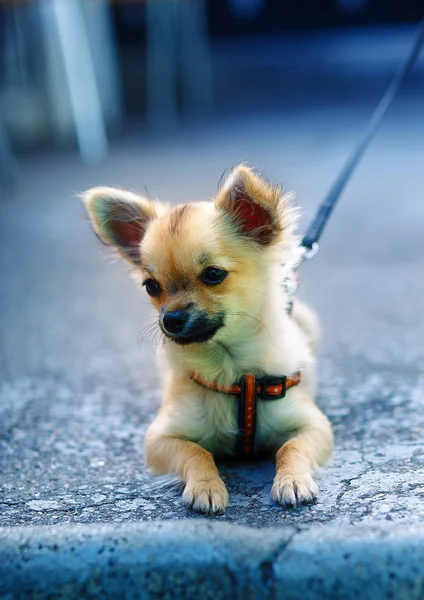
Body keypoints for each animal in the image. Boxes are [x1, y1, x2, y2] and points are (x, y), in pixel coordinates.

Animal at [83, 164, 332, 516]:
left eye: (214, 274)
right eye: (151, 286)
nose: (170, 319)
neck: (230, 369)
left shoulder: (314, 426)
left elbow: (291, 447)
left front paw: (292, 480)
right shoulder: (160, 438)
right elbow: (197, 452)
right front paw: (207, 486)